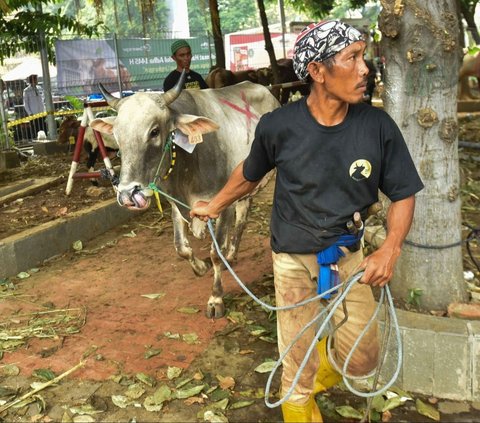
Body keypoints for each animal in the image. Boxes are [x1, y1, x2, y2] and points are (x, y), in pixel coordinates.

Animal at [89, 71, 282, 320]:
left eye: (154, 131)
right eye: (117, 135)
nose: (128, 194)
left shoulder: (223, 205)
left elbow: (215, 252)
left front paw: (216, 298)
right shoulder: (175, 204)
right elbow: (180, 248)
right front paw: (200, 267)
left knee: (240, 223)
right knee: (242, 217)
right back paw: (231, 255)